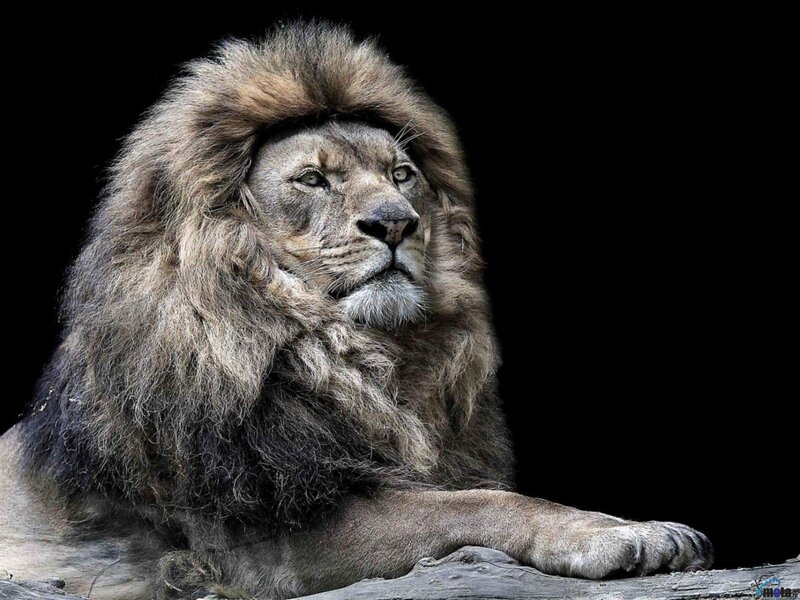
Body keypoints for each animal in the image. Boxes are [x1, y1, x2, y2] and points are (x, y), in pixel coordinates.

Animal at [0, 22, 713, 599]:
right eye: (313, 179)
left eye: (401, 175)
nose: (396, 223)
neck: (347, 354)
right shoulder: (258, 539)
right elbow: (481, 504)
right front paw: (623, 535)